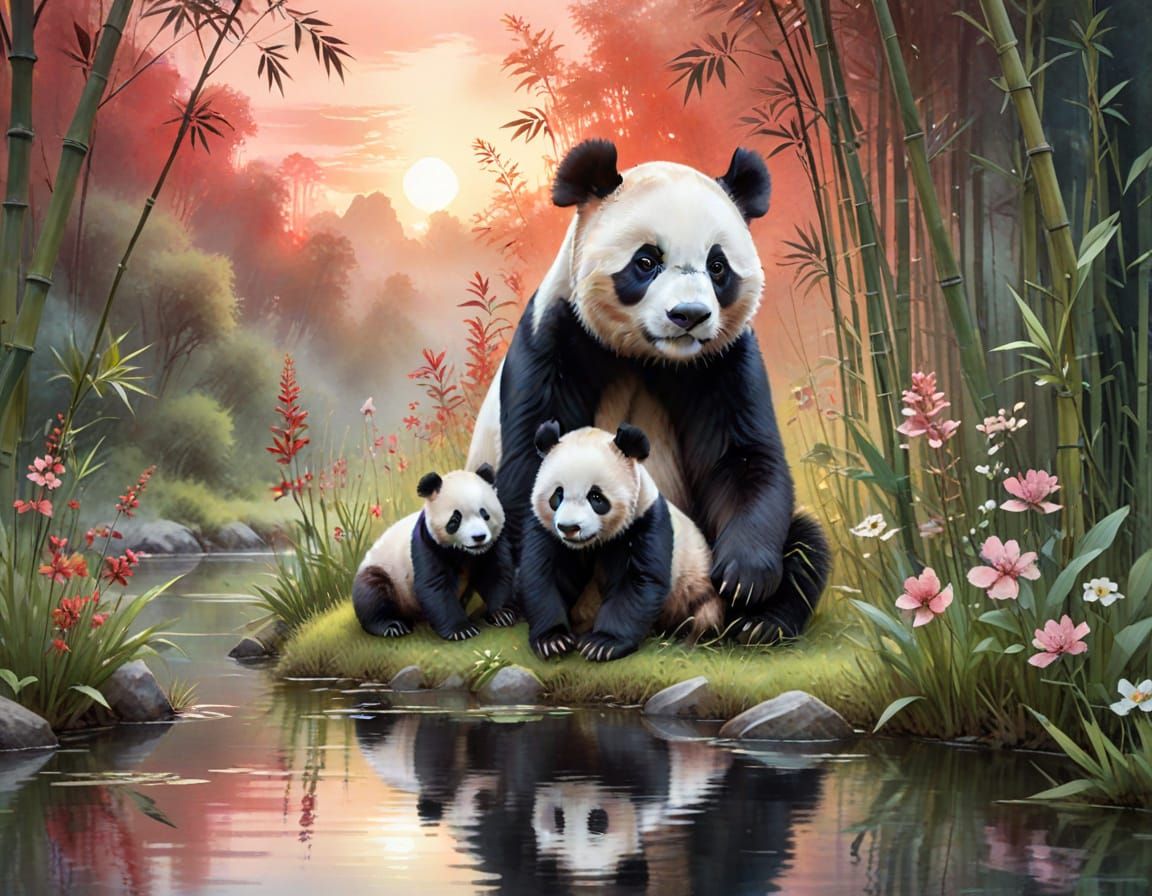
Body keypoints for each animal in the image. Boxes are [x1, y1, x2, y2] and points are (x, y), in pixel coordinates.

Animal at [352, 464, 516, 641]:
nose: (478, 537)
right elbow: (435, 585)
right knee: (373, 594)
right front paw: (461, 630)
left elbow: (493, 573)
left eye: (485, 514)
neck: (465, 552)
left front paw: (502, 614)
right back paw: (392, 625)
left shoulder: (492, 545)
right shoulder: (427, 543)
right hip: (384, 572)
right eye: (455, 520)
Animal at [524, 421, 724, 661]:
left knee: (703, 613)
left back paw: (690, 639)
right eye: (558, 495)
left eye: (596, 497)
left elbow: (636, 583)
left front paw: (602, 643)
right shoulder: (549, 533)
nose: (569, 528)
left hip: (696, 582)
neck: (592, 544)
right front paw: (553, 640)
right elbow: (545, 576)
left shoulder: (645, 522)